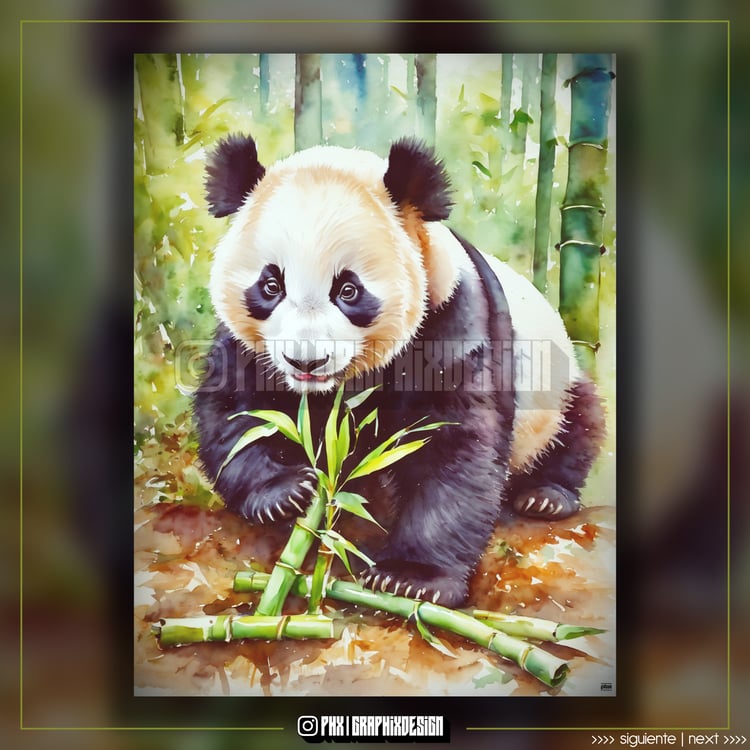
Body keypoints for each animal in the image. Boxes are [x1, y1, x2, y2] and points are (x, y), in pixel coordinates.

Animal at [193, 133, 606, 608]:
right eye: (270, 285)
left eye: (348, 290)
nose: (306, 362)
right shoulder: (252, 349)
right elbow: (237, 411)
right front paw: (284, 493)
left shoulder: (453, 321)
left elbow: (454, 445)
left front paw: (413, 578)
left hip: (556, 380)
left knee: (580, 424)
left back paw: (545, 496)